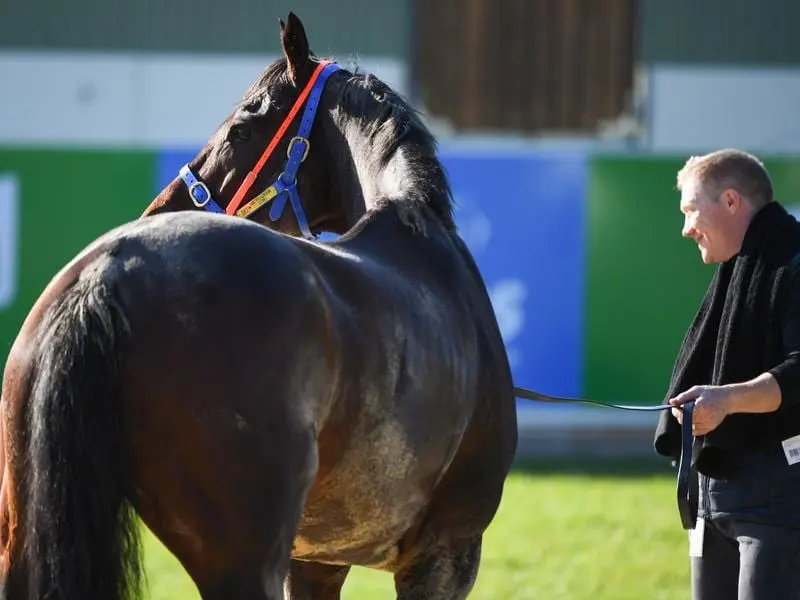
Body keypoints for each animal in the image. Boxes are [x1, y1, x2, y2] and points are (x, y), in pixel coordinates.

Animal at [0, 10, 520, 600]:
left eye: (240, 130)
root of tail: (108, 269)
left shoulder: (317, 560)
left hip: (25, 538)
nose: (159, 208)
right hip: (243, 560)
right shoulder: (444, 554)